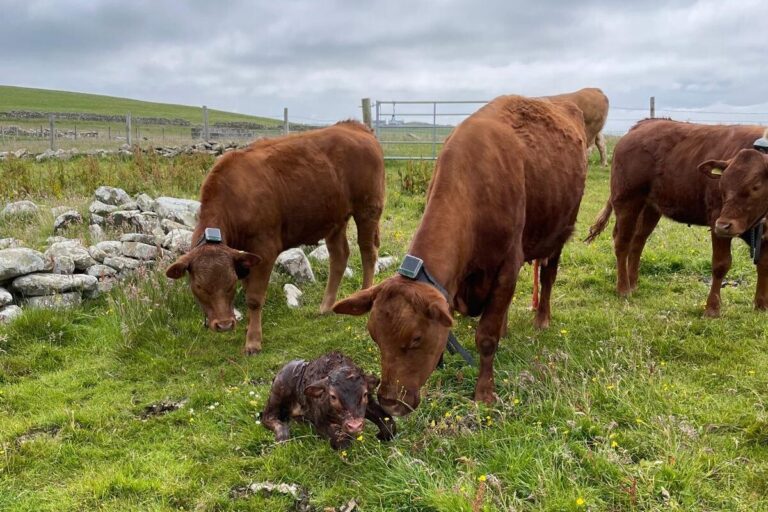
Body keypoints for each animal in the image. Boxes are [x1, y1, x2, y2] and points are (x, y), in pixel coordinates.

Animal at [165, 121, 385, 354]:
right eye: (198, 286)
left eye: (230, 283)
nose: (224, 325)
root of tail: (354, 126)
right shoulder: (244, 256)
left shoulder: (264, 249)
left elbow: (254, 298)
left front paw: (253, 341)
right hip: (335, 218)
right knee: (339, 256)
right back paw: (326, 307)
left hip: (368, 209)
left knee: (368, 251)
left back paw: (363, 296)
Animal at [333, 95, 588, 416]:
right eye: (374, 336)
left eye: (416, 338)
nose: (390, 403)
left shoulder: (507, 266)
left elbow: (486, 337)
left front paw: (484, 393)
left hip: (561, 229)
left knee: (549, 275)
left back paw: (542, 319)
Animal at [586, 120, 767, 317]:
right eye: (722, 185)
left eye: (756, 186)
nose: (724, 225)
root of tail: (643, 125)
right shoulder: (716, 220)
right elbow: (721, 264)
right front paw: (712, 309)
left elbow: (763, 265)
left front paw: (761, 305)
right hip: (627, 201)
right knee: (622, 242)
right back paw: (623, 289)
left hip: (650, 208)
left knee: (637, 242)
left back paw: (633, 284)